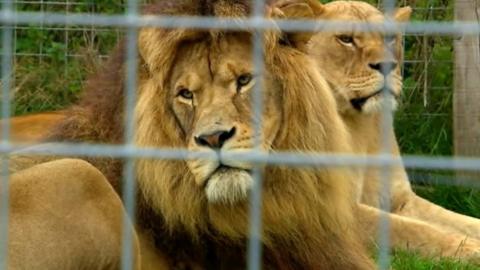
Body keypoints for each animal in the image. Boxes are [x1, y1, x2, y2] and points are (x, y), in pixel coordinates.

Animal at [308, 0, 480, 262]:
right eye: (346, 39)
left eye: (389, 38)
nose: (388, 65)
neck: (361, 126)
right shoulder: (333, 210)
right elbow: (416, 230)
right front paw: (473, 249)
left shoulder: (400, 199)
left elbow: (459, 220)